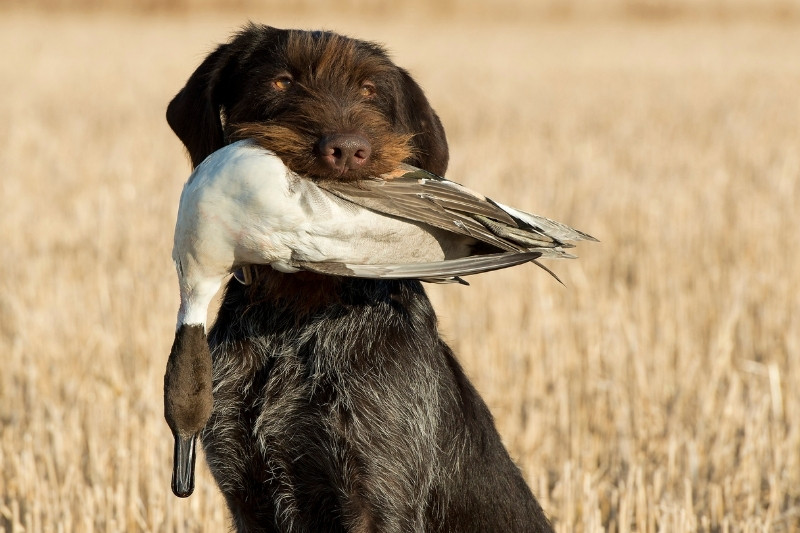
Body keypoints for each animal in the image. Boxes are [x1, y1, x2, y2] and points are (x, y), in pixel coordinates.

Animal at [167, 23, 556, 532]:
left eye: (370, 90)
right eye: (282, 81)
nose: (348, 150)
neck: (298, 313)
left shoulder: (378, 492)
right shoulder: (244, 492)